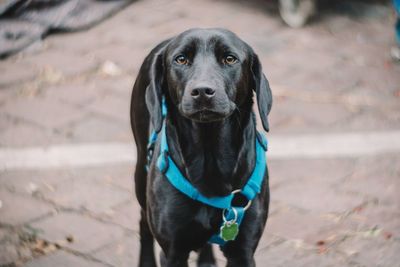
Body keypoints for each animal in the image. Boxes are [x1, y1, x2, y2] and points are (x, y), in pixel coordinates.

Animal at [130, 28, 274, 266]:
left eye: (230, 59)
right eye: (181, 59)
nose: (203, 91)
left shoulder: (243, 251)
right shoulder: (173, 252)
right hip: (141, 173)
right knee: (143, 222)